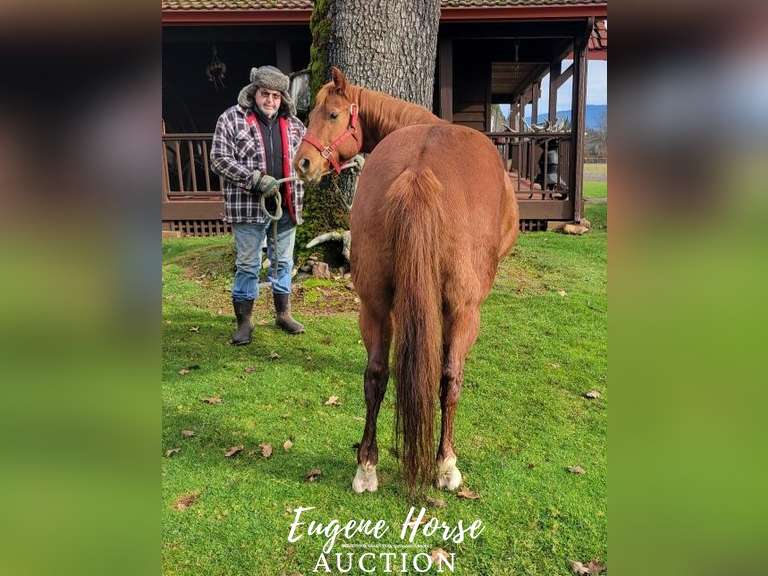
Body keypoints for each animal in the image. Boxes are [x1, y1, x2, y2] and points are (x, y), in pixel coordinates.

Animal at [294, 67, 519, 494]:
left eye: (331, 114)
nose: (302, 164)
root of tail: (418, 171)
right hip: (463, 311)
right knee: (449, 379)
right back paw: (445, 465)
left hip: (374, 306)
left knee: (376, 376)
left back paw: (366, 467)